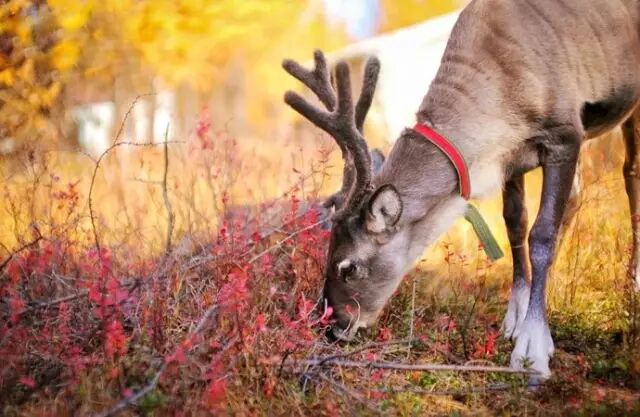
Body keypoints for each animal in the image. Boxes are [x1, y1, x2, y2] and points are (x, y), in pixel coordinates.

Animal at [282, 0, 640, 380]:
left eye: (348, 267)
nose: (330, 326)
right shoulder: (512, 157)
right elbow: (516, 224)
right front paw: (517, 317)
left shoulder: (564, 133)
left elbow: (541, 234)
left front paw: (533, 347)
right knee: (576, 195)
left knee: (629, 173)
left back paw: (632, 283)